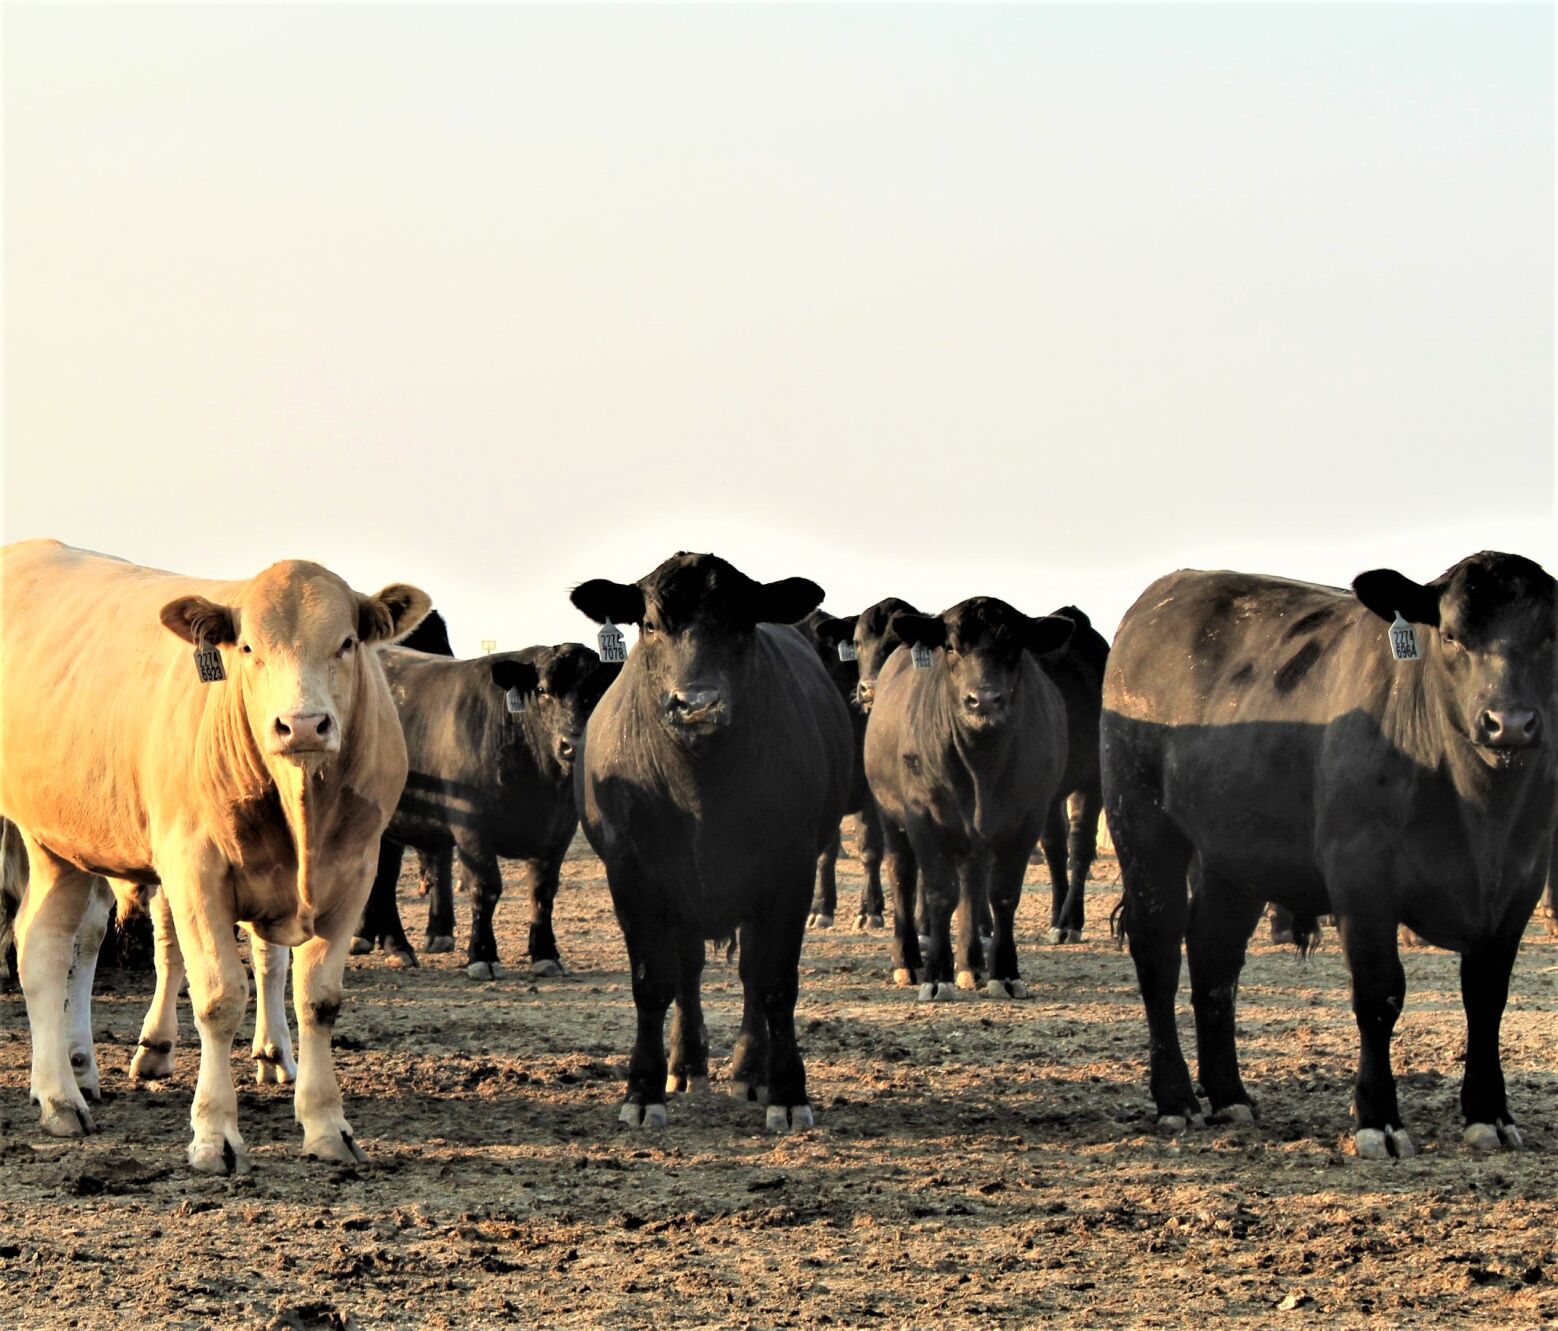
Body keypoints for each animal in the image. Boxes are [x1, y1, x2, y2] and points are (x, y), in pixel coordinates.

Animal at [0, 539, 429, 1172]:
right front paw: (214, 1132)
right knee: (46, 954)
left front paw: (327, 1125)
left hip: (68, 846)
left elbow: (317, 998)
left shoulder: (355, 870)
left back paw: (61, 1089)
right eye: (247, 648)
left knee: (51, 946)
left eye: (347, 642)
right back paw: (60, 1095)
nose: (304, 724)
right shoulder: (193, 868)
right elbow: (220, 995)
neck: (299, 807)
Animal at [353, 643, 620, 977]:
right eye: (542, 690)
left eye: (596, 691)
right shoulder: (472, 829)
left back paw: (395, 945)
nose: (571, 744)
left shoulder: (559, 830)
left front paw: (545, 953)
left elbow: (543, 892)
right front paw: (482, 955)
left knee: (384, 876)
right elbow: (486, 888)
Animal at [571, 552, 853, 1132]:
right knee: (688, 972)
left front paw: (787, 1091)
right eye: (650, 624)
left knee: (747, 977)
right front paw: (642, 1090)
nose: (697, 704)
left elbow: (773, 982)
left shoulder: (788, 873)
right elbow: (653, 982)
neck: (698, 787)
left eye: (741, 623)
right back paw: (686, 1065)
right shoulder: (633, 877)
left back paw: (749, 1071)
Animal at [863, 598, 1074, 1001]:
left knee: (972, 884)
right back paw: (908, 961)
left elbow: (1002, 894)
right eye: (951, 647)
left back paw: (971, 964)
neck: (981, 766)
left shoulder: (1027, 820)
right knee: (902, 876)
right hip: (889, 816)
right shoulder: (923, 817)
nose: (984, 699)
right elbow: (939, 894)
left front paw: (1004, 973)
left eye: (1013, 646)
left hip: (973, 840)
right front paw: (936, 975)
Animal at [1101, 552, 1557, 1158]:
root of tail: (1167, 591)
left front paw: (1490, 1113)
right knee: (1158, 951)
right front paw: (1378, 1119)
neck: (1479, 808)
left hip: (1235, 855)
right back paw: (1176, 1100)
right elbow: (1379, 994)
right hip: (1143, 825)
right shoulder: (1361, 878)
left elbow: (1486, 999)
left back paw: (1229, 1096)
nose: (1509, 723)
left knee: (1214, 956)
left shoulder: (1517, 887)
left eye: (1549, 634)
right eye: (1452, 636)